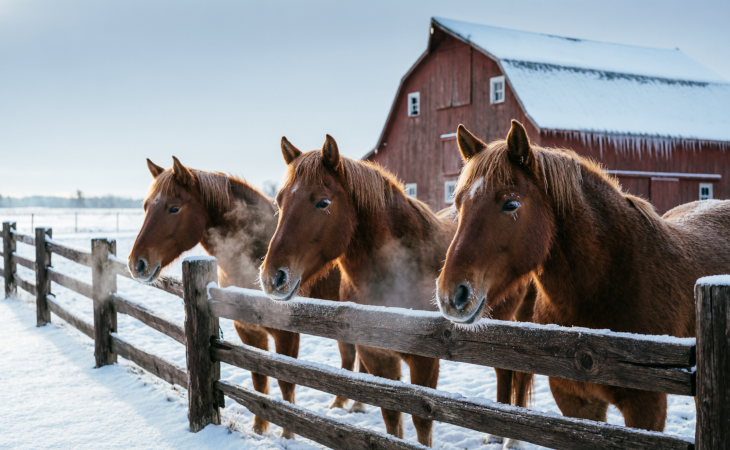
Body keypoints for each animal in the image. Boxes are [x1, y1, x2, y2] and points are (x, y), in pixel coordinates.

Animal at [128, 157, 359, 438]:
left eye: (174, 208)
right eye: (146, 206)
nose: (136, 263)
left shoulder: (287, 334)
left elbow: (286, 383)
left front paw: (287, 435)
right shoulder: (248, 329)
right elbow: (258, 379)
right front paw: (259, 430)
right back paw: (340, 404)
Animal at [258, 135, 535, 447]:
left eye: (323, 202)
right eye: (280, 201)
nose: (272, 277)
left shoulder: (425, 360)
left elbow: (422, 421)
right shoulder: (376, 355)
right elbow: (391, 417)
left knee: (515, 373)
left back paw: (508, 438)